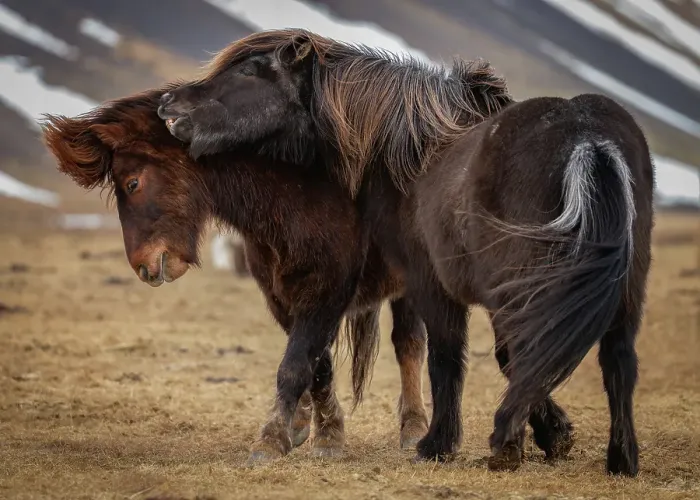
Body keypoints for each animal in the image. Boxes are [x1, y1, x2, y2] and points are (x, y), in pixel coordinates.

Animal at [41, 87, 431, 464]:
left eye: (133, 183)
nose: (144, 267)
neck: (300, 193)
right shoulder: (279, 294)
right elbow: (316, 363)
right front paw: (323, 431)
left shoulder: (328, 291)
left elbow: (296, 365)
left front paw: (273, 441)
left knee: (408, 343)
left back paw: (413, 427)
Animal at [154, 29, 654, 476]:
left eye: (250, 71)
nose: (167, 106)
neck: (414, 148)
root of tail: (586, 141)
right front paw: (549, 435)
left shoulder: (426, 282)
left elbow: (453, 357)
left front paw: (447, 444)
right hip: (624, 289)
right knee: (619, 360)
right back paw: (622, 460)